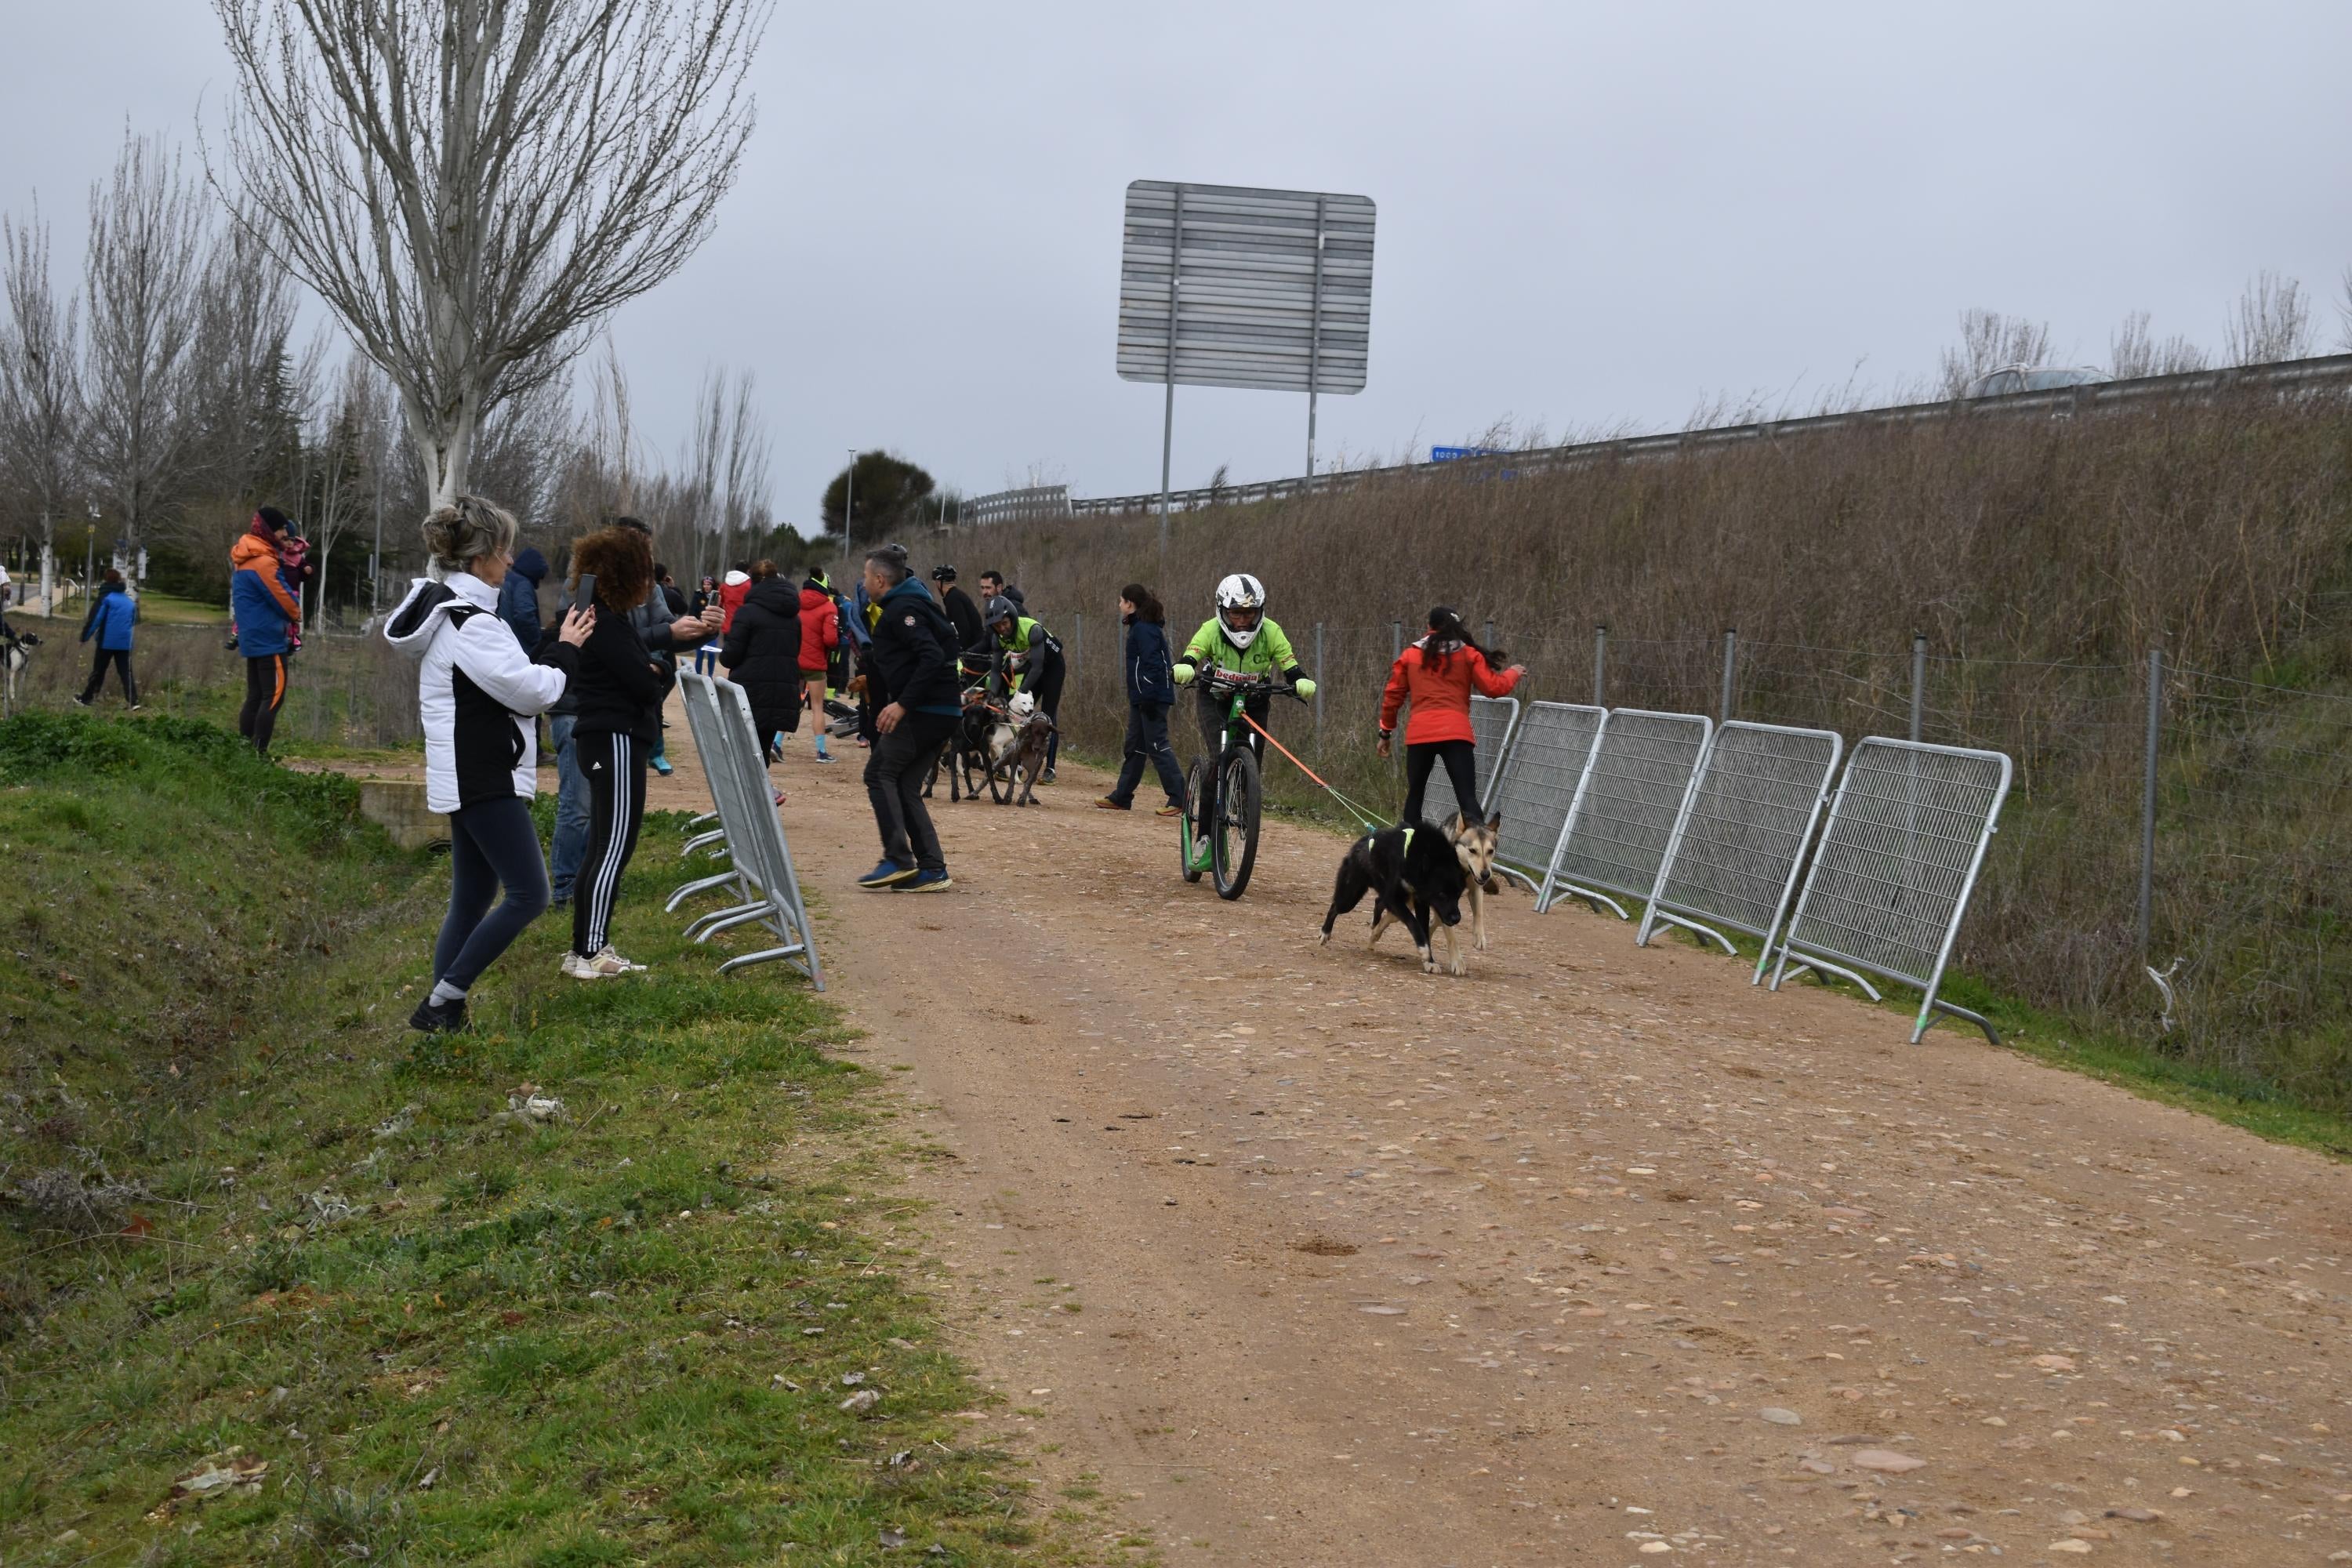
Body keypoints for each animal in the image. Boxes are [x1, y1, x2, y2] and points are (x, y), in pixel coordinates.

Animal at [1317, 818, 1458, 973]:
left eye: (1458, 895)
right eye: (1442, 894)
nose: (1456, 918)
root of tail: (1360, 843)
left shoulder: (1420, 901)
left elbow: (1424, 930)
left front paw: (1429, 961)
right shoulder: (1394, 899)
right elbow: (1413, 923)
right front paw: (1425, 952)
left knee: (1378, 902)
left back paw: (1374, 923)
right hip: (1350, 898)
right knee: (1335, 907)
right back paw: (1325, 932)